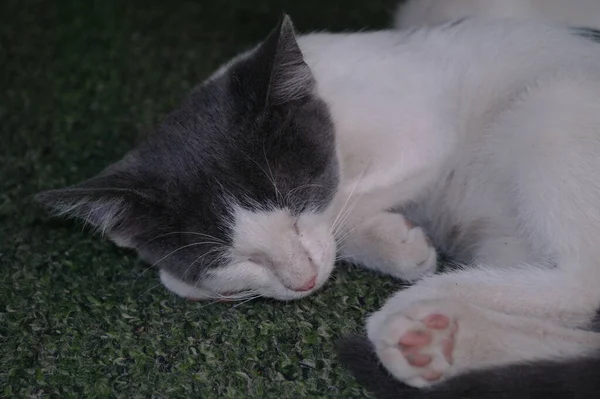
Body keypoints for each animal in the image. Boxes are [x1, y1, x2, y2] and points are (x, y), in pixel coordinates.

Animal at [36, 8, 600, 399]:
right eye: (232, 256)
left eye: (295, 200)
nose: (302, 281)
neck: (339, 118)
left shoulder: (421, 127)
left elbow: (341, 203)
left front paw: (382, 243)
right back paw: (437, 339)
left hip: (552, 109)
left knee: (584, 280)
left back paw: (415, 306)